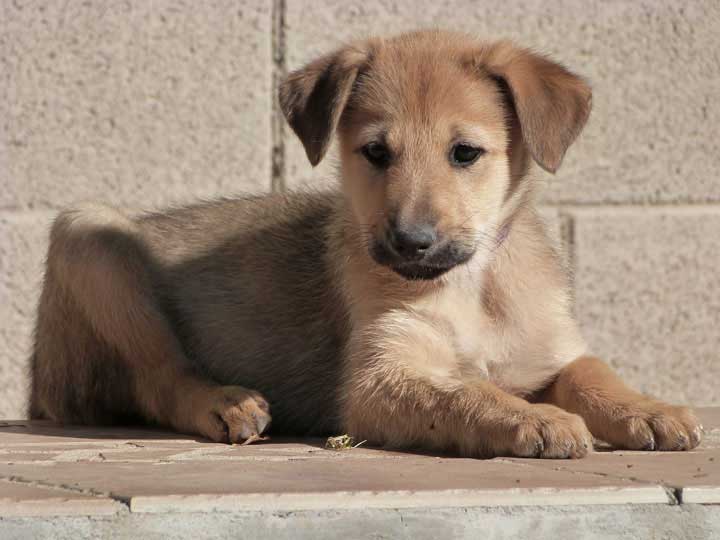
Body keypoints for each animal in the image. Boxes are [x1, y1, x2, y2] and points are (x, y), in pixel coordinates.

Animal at [31, 30, 700, 460]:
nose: (411, 242)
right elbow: (463, 391)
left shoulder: (548, 353)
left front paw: (649, 409)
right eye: (376, 152)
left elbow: (595, 373)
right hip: (90, 236)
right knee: (159, 380)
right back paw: (226, 400)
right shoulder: (380, 380)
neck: (474, 287)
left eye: (465, 153)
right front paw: (532, 417)